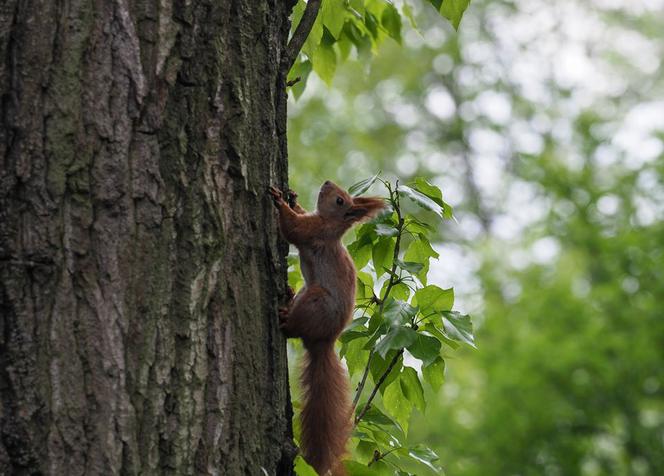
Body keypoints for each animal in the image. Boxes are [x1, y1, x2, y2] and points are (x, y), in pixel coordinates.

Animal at [268, 181, 384, 476]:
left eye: (340, 200)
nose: (327, 183)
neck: (331, 225)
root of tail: (324, 342)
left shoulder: (314, 231)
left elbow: (293, 229)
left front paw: (280, 201)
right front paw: (293, 198)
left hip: (315, 300)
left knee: (294, 330)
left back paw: (285, 318)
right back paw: (288, 294)